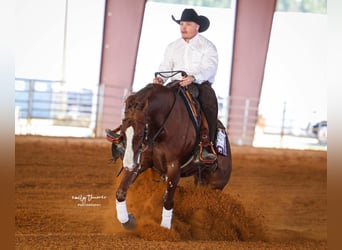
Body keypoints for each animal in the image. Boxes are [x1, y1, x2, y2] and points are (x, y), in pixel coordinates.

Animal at [107, 72, 232, 229]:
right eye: (123, 133)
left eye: (141, 134)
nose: (128, 165)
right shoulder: (141, 161)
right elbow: (121, 192)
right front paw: (127, 221)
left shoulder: (174, 167)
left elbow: (167, 201)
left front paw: (165, 230)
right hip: (201, 180)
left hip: (216, 185)